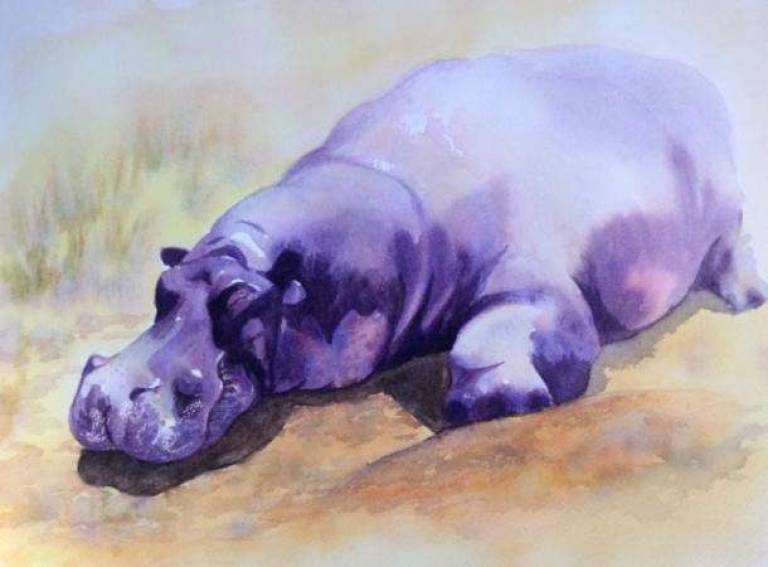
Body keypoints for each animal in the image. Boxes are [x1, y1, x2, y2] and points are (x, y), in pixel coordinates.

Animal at [70, 46, 766, 463]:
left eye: (240, 303)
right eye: (162, 289)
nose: (106, 397)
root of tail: (691, 74)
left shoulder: (536, 277)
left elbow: (497, 336)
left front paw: (491, 403)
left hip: (727, 208)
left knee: (734, 241)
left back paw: (745, 299)